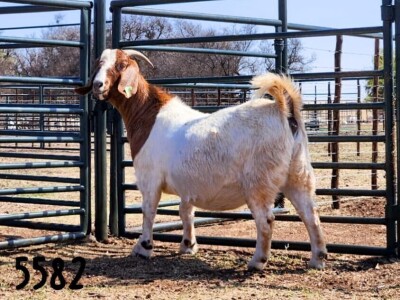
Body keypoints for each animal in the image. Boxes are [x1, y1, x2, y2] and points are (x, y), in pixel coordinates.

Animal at [76, 48, 328, 270]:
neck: (149, 116)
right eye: (99, 63)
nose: (98, 85)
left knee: (266, 220)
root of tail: (283, 110)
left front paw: (143, 247)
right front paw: (188, 245)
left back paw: (257, 261)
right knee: (311, 215)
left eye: (120, 65)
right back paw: (318, 259)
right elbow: (185, 211)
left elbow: (149, 211)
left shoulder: (150, 178)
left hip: (259, 182)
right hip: (298, 174)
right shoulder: (187, 186)